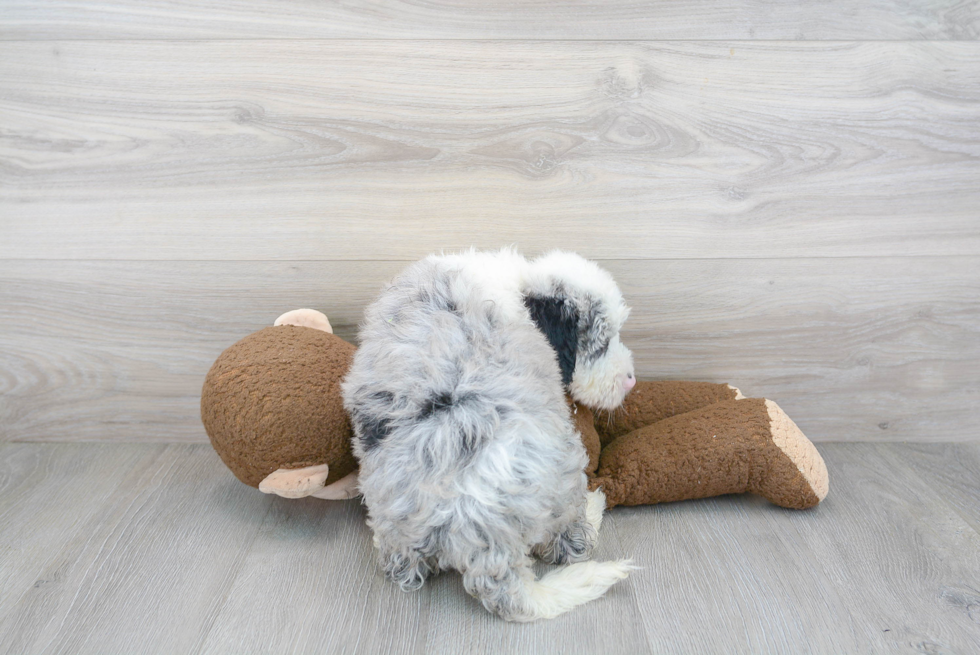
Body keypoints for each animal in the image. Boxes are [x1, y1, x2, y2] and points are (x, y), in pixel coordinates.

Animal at [342, 247, 636, 620]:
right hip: (567, 467)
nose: (631, 381)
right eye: (601, 344)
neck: (520, 283)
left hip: (389, 512)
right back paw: (594, 510)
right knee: (568, 542)